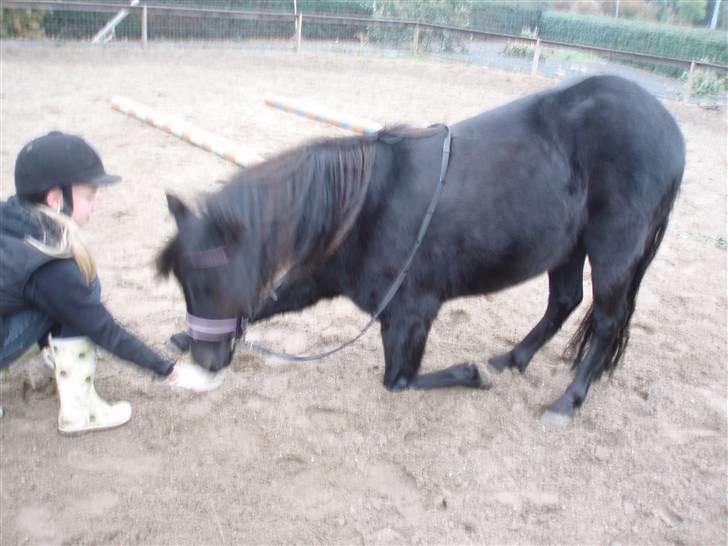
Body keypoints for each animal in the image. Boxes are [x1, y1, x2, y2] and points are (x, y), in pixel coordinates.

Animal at [157, 75, 684, 424]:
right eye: (183, 281)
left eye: (213, 278)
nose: (209, 360)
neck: (366, 202)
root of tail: (669, 128)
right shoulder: (322, 278)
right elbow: (272, 301)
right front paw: (183, 337)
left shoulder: (410, 312)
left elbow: (400, 381)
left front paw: (472, 374)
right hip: (569, 246)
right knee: (565, 301)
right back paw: (513, 359)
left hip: (612, 248)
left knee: (607, 321)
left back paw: (566, 401)